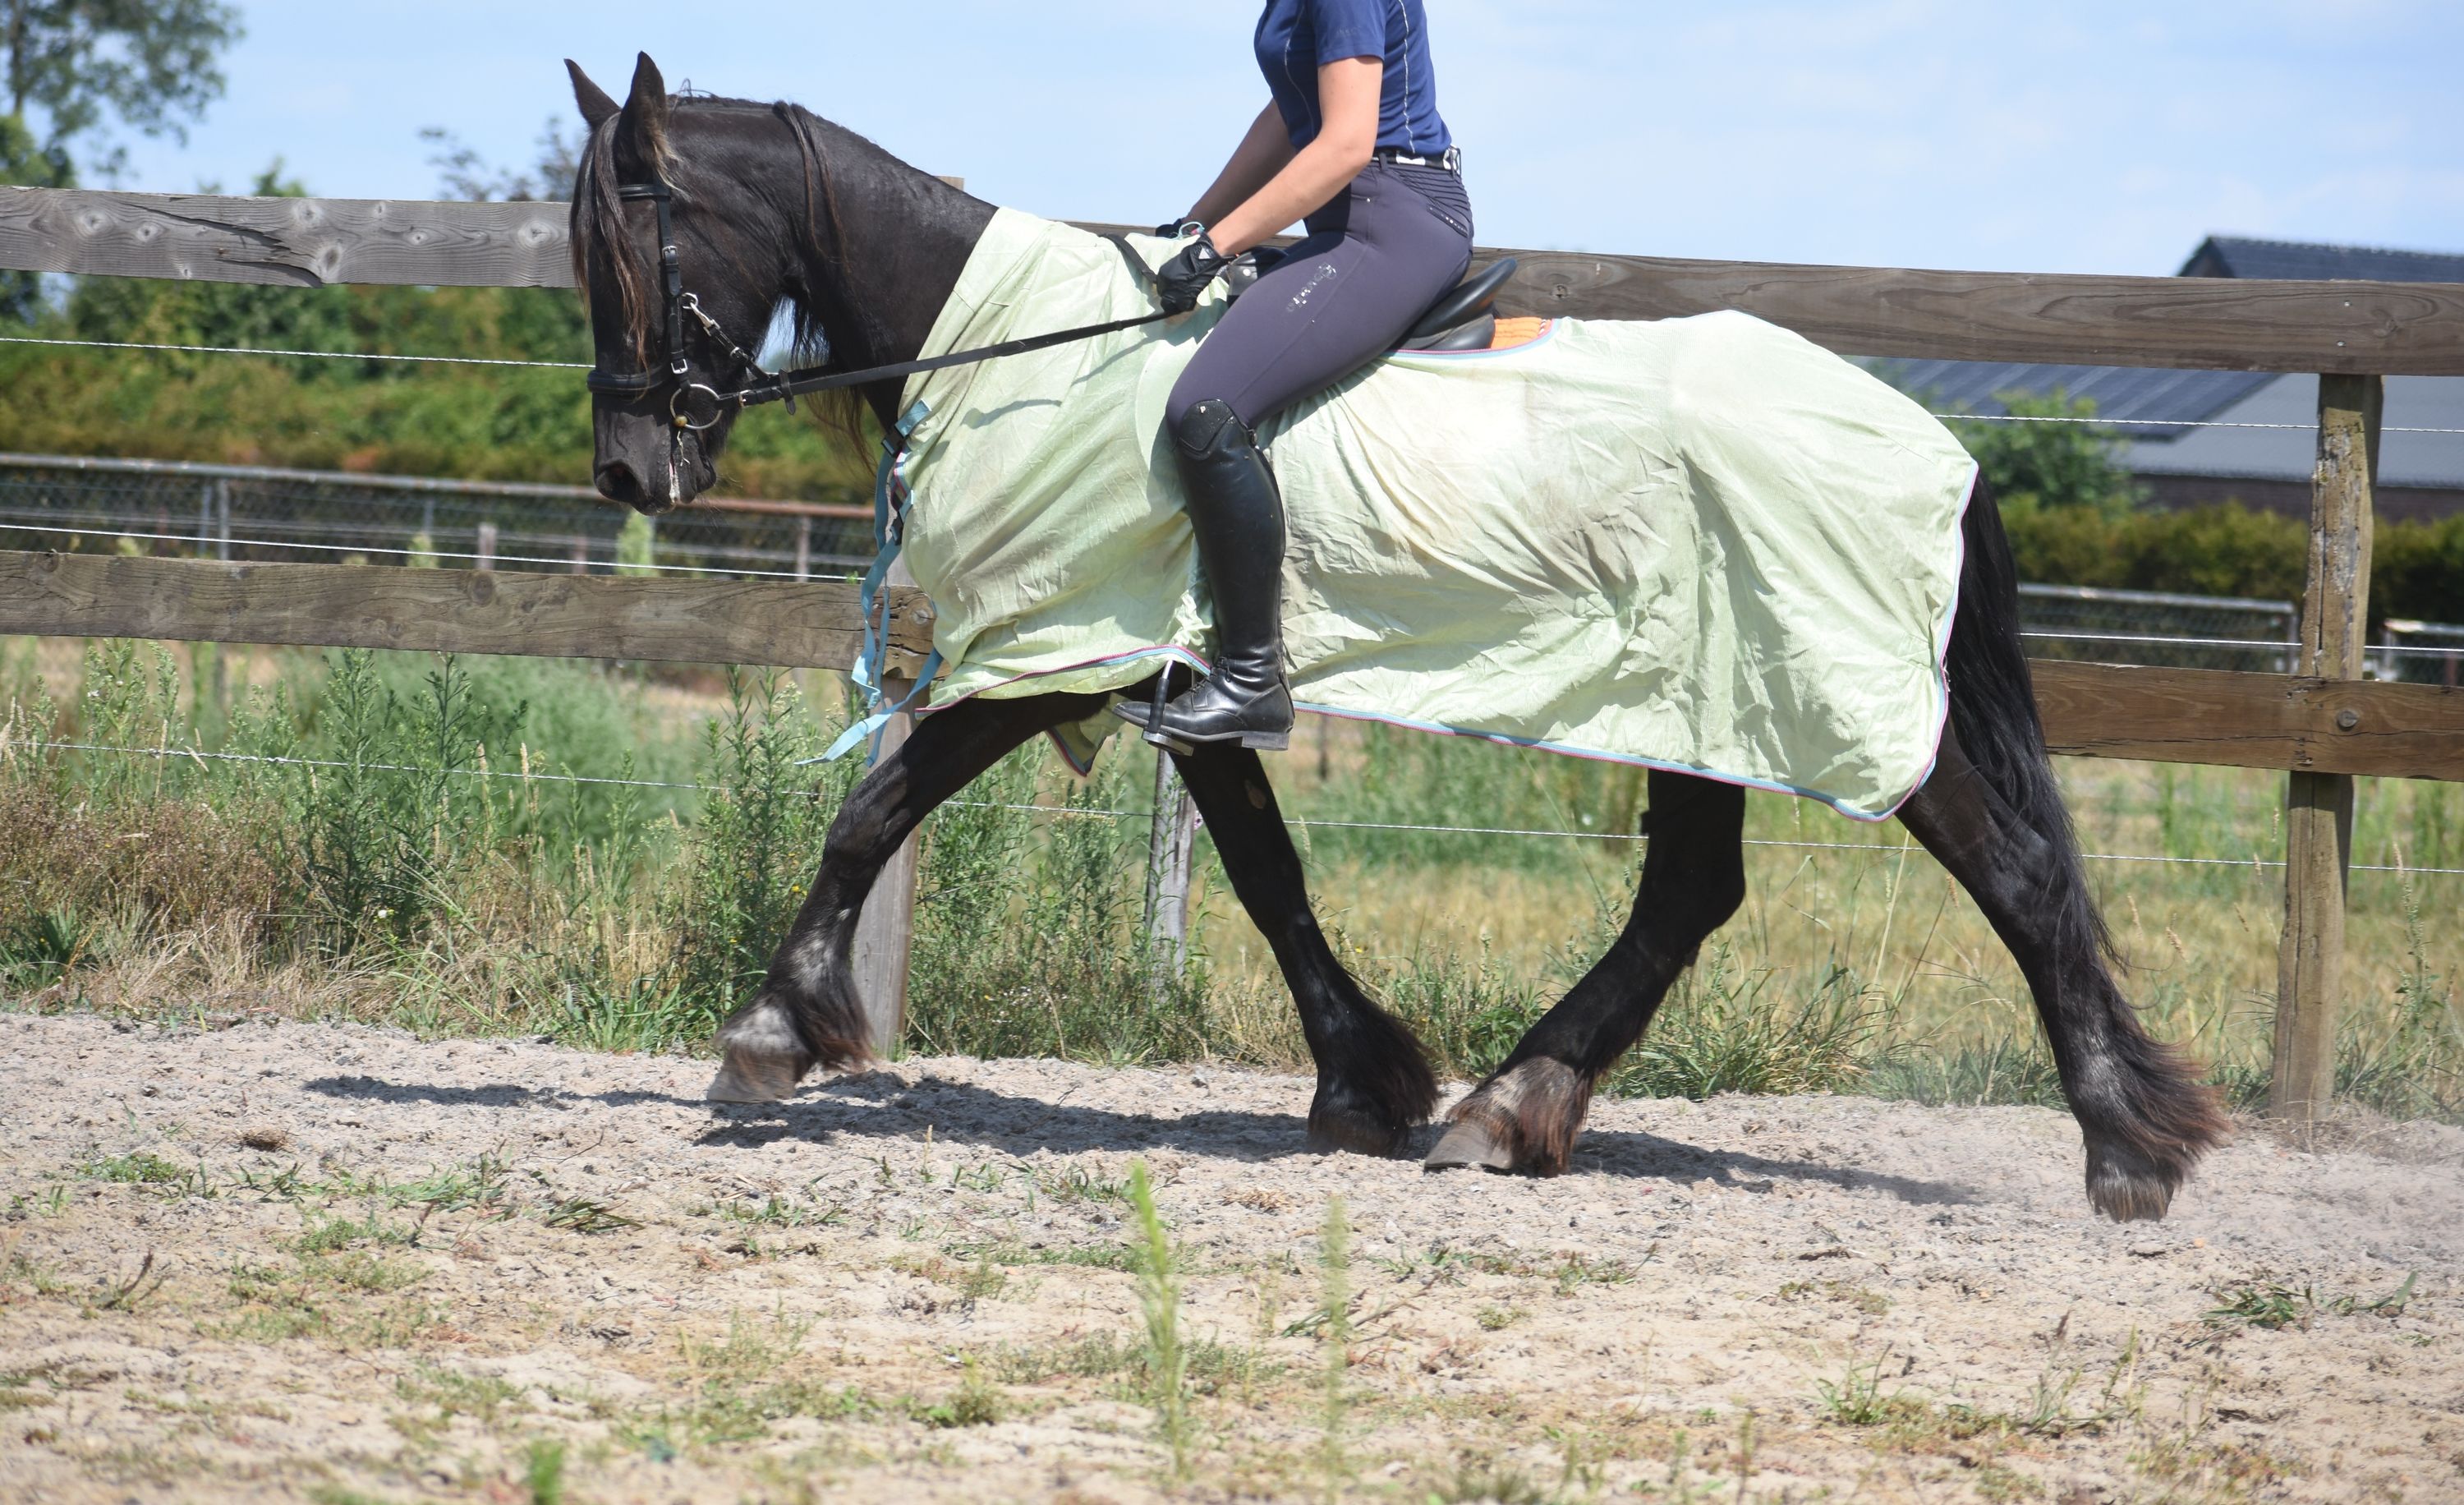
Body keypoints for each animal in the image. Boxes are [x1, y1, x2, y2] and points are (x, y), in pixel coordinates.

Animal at [563, 54, 2227, 1221]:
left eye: (631, 256)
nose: (631, 475)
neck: (1016, 352)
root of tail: (1924, 437)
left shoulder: (1057, 655)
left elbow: (872, 812)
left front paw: (769, 1031)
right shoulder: (1184, 678)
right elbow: (1266, 870)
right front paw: (1366, 1081)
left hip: (1831, 704)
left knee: (2012, 877)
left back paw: (2123, 1154)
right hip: (1692, 708)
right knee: (1691, 895)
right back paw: (1510, 1106)